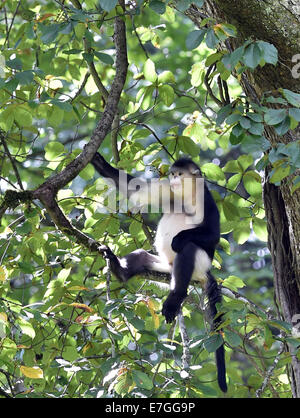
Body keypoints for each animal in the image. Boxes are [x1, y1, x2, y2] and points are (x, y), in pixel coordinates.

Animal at [91, 153, 227, 392]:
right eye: (172, 174)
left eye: (179, 174)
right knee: (141, 257)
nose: (173, 179)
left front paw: (179, 238)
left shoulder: (206, 200)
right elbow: (134, 189)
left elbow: (212, 235)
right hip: (163, 266)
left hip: (200, 263)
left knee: (188, 249)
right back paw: (120, 271)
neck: (186, 195)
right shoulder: (168, 190)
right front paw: (98, 161)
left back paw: (176, 296)